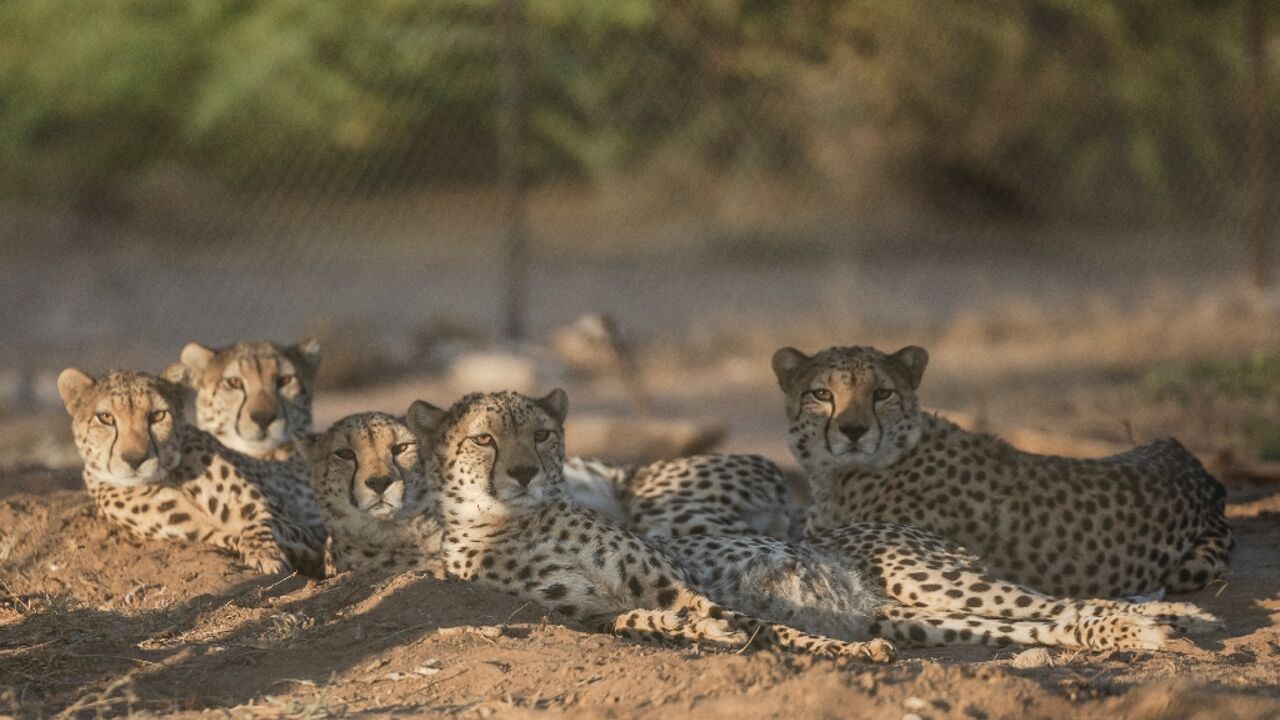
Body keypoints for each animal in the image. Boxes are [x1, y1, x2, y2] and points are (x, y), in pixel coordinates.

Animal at [57, 368, 327, 576]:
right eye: (105, 418)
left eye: (157, 415)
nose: (135, 459)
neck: (170, 476)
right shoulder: (202, 535)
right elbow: (234, 538)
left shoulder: (286, 517)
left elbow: (257, 525)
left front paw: (267, 556)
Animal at [405, 389, 896, 661]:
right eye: (483, 439)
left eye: (541, 435)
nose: (525, 473)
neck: (524, 521)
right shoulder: (588, 617)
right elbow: (632, 620)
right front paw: (690, 628)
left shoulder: (678, 587)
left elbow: (763, 625)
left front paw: (846, 649)